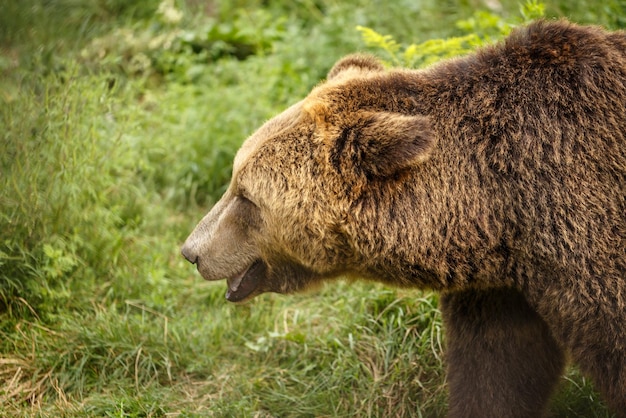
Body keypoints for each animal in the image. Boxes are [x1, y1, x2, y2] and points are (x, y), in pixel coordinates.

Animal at [180, 20, 624, 418]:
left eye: (246, 197)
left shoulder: (586, 238)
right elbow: (498, 369)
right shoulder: (502, 288)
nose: (191, 251)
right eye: (233, 178)